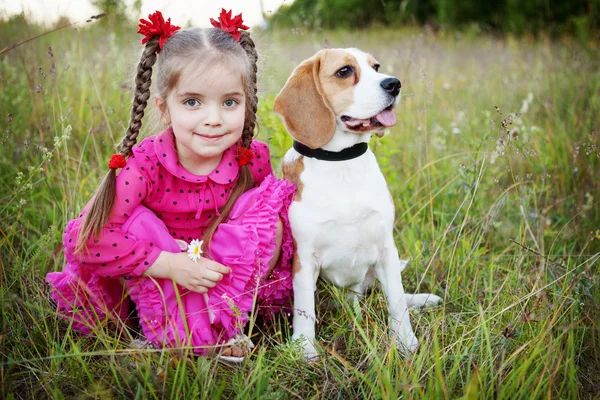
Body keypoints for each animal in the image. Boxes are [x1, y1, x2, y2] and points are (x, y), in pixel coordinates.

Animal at [276, 47, 440, 360]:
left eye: (376, 66)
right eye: (344, 71)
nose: (394, 84)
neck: (342, 162)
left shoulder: (386, 249)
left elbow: (397, 301)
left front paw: (405, 342)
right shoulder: (304, 259)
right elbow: (304, 309)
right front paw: (305, 349)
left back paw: (421, 299)